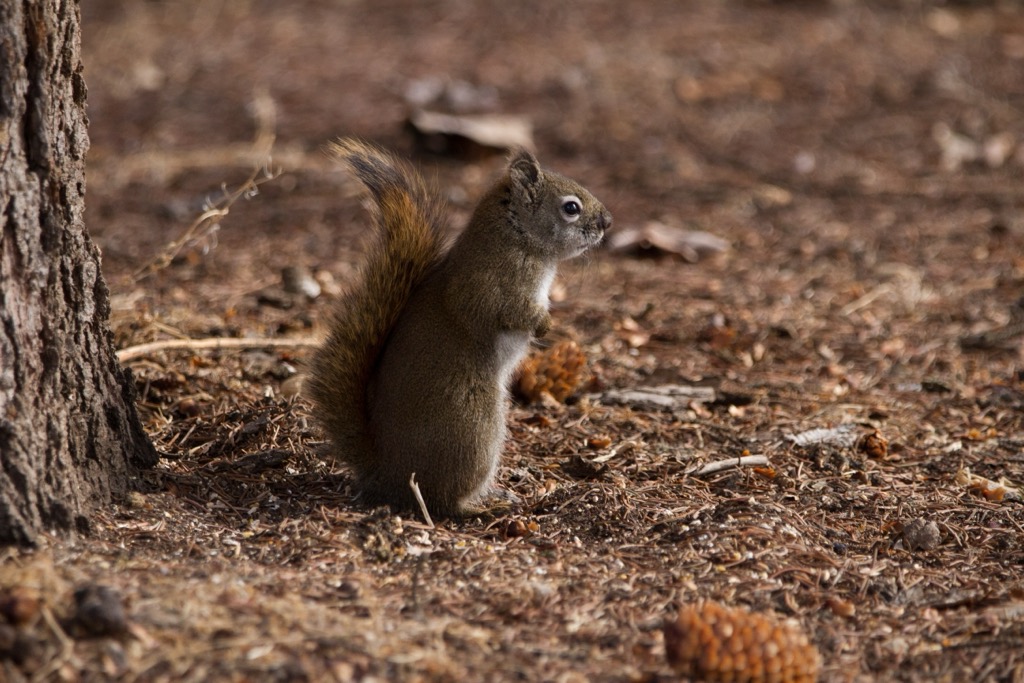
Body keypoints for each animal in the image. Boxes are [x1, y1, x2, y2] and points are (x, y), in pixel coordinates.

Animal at [306, 139, 611, 517]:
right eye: (571, 207)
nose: (607, 222)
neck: (516, 237)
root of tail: (388, 473)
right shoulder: (488, 286)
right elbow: (506, 310)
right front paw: (544, 325)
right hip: (473, 430)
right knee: (443, 501)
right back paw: (482, 507)